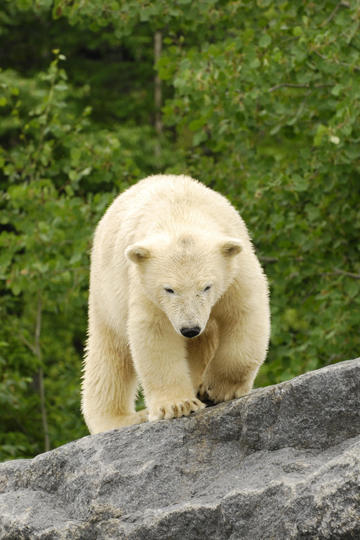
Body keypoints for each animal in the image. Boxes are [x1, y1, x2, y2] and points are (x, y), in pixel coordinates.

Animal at [81, 174, 270, 434]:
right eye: (169, 289)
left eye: (206, 287)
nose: (189, 329)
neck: (181, 214)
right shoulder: (145, 286)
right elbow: (156, 335)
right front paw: (179, 405)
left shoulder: (235, 271)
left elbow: (244, 315)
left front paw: (215, 389)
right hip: (106, 293)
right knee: (110, 354)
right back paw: (119, 418)